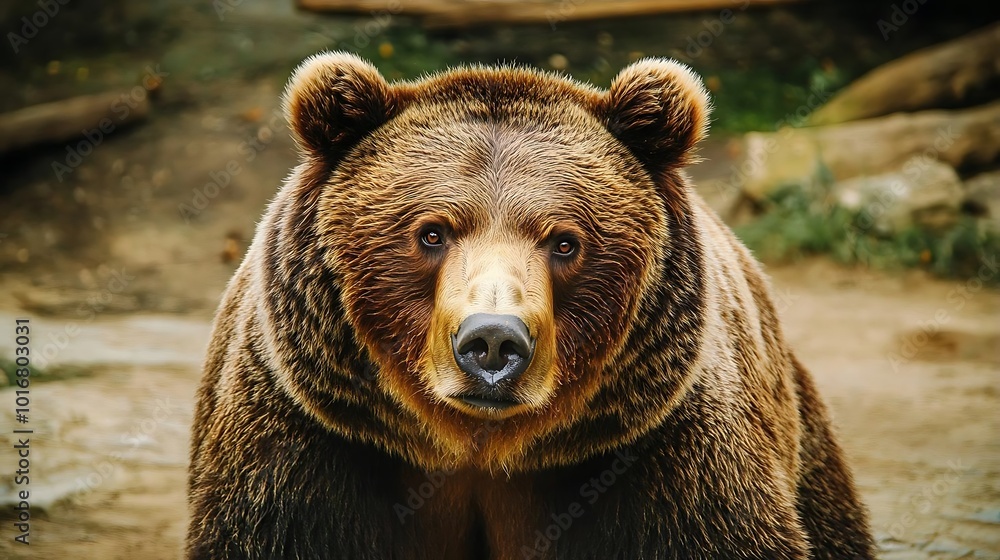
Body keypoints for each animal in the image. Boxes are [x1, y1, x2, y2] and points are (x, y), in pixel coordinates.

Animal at [186, 52, 875, 559]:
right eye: (431, 232)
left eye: (565, 241)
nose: (492, 341)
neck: (479, 450)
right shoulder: (309, 446)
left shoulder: (669, 461)